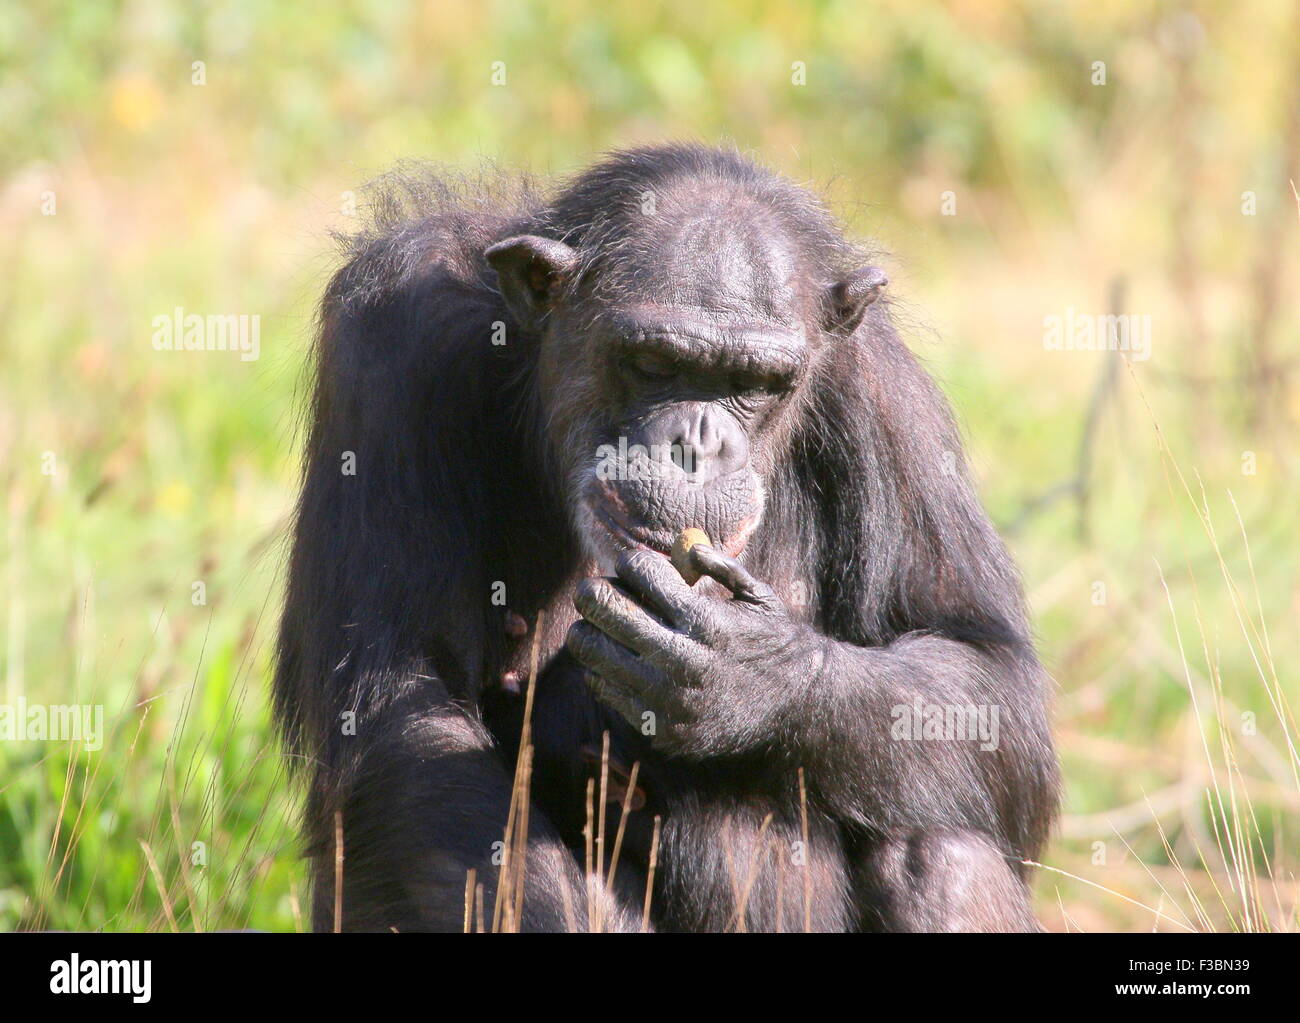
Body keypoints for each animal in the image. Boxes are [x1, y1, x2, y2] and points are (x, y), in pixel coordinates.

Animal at [274, 144, 1055, 935]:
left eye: (757, 381)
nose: (697, 444)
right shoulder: (397, 341)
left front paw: (748, 670)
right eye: (653, 364)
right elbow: (405, 713)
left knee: (944, 851)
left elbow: (988, 673)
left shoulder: (883, 387)